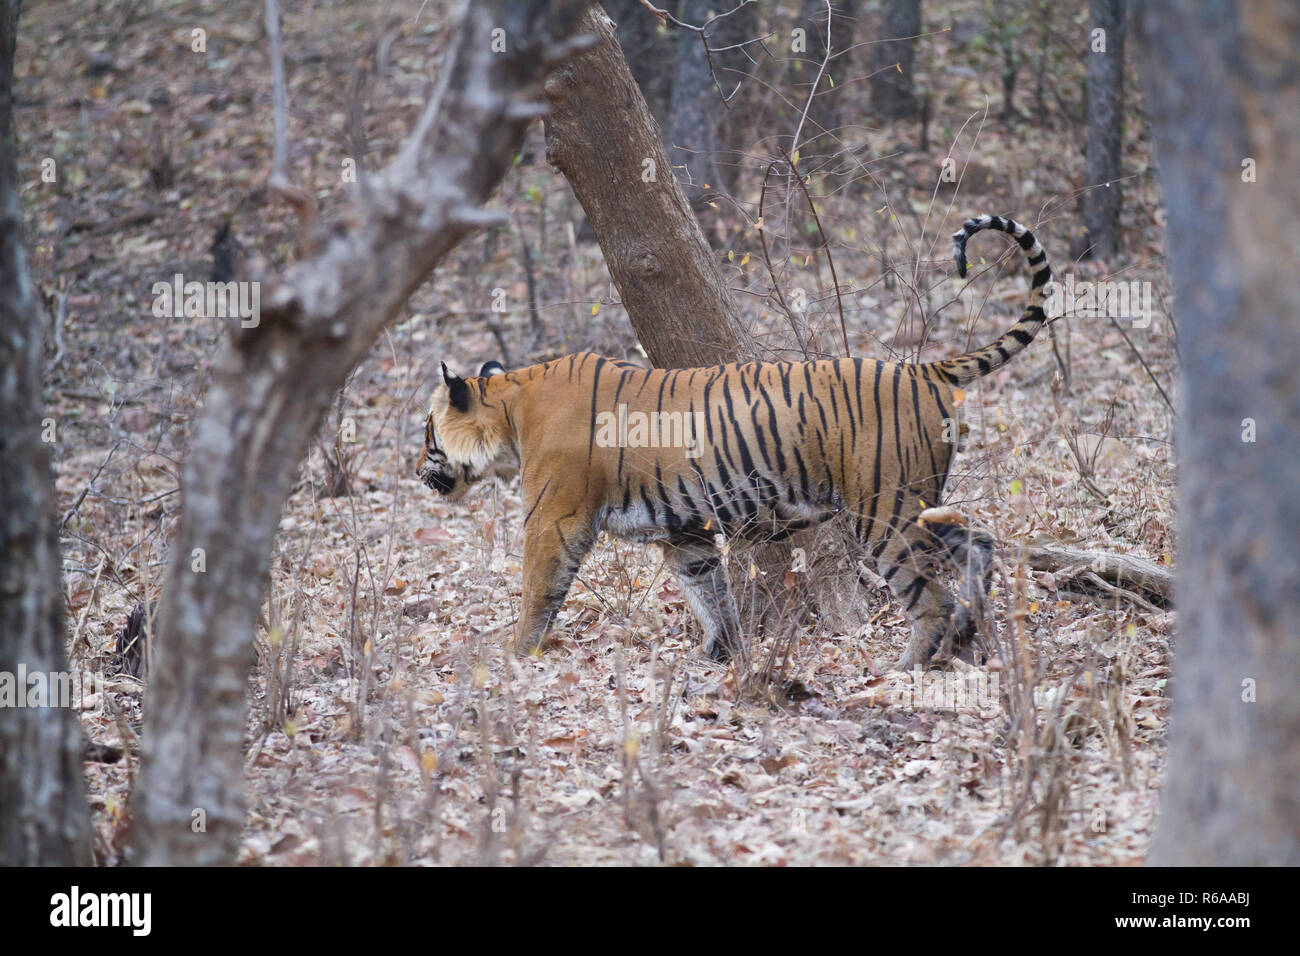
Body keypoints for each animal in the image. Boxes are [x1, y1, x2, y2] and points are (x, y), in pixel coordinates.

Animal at [421, 213, 1050, 671]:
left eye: (426, 433)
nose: (419, 475)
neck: (511, 409)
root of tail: (924, 369)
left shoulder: (554, 519)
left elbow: (537, 590)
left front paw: (513, 655)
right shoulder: (684, 531)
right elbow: (711, 593)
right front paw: (721, 653)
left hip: (885, 508)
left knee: (930, 596)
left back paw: (910, 664)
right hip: (917, 503)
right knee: (980, 542)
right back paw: (969, 628)